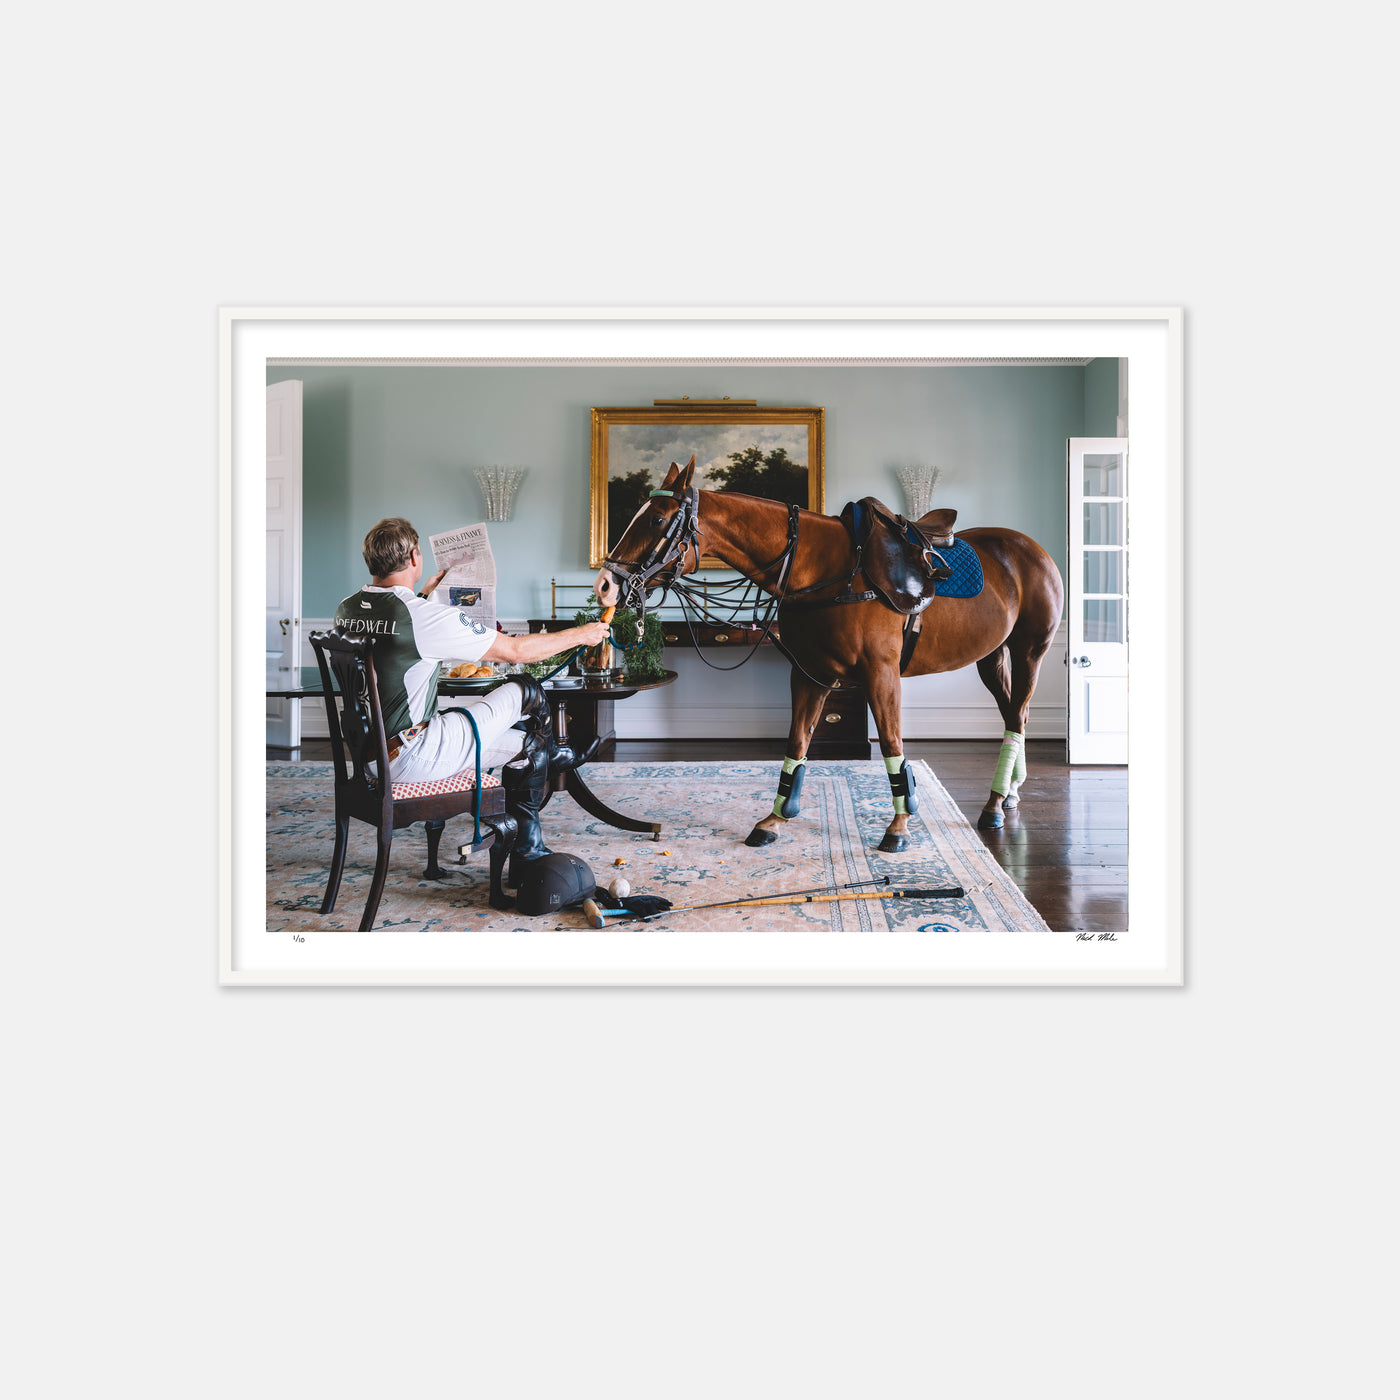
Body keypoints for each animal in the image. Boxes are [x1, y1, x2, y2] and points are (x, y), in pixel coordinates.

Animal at [596, 459, 1064, 851]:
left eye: (657, 519)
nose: (605, 583)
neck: (824, 571)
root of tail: (1032, 548)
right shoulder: (810, 674)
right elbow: (797, 742)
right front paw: (774, 818)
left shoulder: (880, 674)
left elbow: (892, 745)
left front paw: (899, 826)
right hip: (992, 656)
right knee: (1015, 715)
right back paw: (1008, 794)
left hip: (1030, 651)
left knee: (1017, 715)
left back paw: (994, 804)